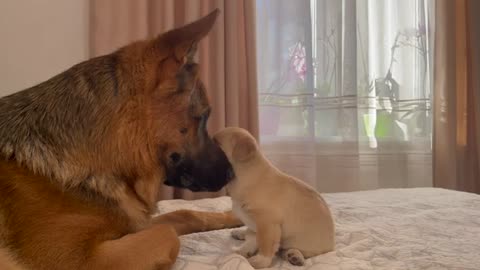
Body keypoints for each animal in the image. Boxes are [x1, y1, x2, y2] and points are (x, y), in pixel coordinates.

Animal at [0, 8, 240, 270]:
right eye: (205, 116)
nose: (232, 173)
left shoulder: (136, 224)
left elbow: (184, 214)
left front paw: (234, 216)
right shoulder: (79, 259)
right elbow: (168, 232)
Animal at [216, 127, 336, 268]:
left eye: (216, 143)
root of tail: (332, 245)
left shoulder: (267, 224)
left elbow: (265, 244)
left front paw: (260, 261)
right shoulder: (256, 225)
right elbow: (252, 240)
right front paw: (241, 252)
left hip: (300, 243)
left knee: (293, 250)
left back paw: (295, 256)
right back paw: (239, 233)